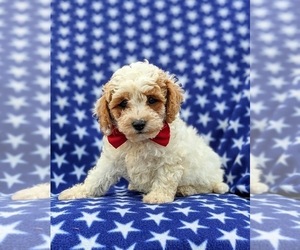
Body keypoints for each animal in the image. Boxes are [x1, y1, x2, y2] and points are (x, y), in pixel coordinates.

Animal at [58, 61, 227, 204]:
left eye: (152, 100)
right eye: (123, 103)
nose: (139, 123)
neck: (140, 142)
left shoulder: (170, 159)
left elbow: (165, 177)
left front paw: (158, 196)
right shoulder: (111, 159)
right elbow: (97, 177)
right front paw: (79, 191)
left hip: (205, 173)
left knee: (205, 187)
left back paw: (186, 189)